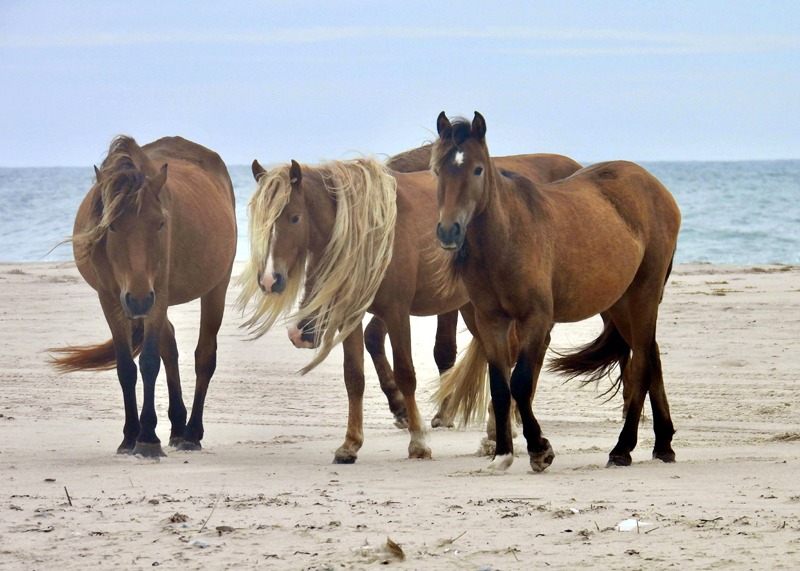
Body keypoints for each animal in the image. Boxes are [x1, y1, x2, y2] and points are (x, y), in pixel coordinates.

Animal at [50, 135, 237, 457]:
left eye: (161, 223)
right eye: (112, 225)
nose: (138, 300)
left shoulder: (157, 293)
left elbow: (149, 362)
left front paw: (148, 438)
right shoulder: (110, 298)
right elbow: (127, 367)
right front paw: (129, 437)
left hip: (215, 288)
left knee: (204, 356)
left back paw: (191, 434)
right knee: (170, 347)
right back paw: (177, 427)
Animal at [237, 150, 582, 464]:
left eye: (294, 217)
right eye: (260, 221)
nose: (269, 280)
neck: (374, 232)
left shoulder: (397, 313)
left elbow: (406, 374)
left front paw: (418, 442)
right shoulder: (352, 316)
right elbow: (354, 377)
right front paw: (350, 444)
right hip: (476, 309)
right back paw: (496, 432)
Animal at [432, 112, 680, 472]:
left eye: (477, 169)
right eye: (438, 170)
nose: (449, 230)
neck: (506, 237)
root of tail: (656, 188)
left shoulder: (535, 318)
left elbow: (521, 382)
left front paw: (539, 450)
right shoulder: (491, 321)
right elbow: (500, 386)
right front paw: (502, 453)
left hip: (643, 295)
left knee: (643, 364)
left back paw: (622, 449)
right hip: (619, 304)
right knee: (652, 356)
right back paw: (663, 444)